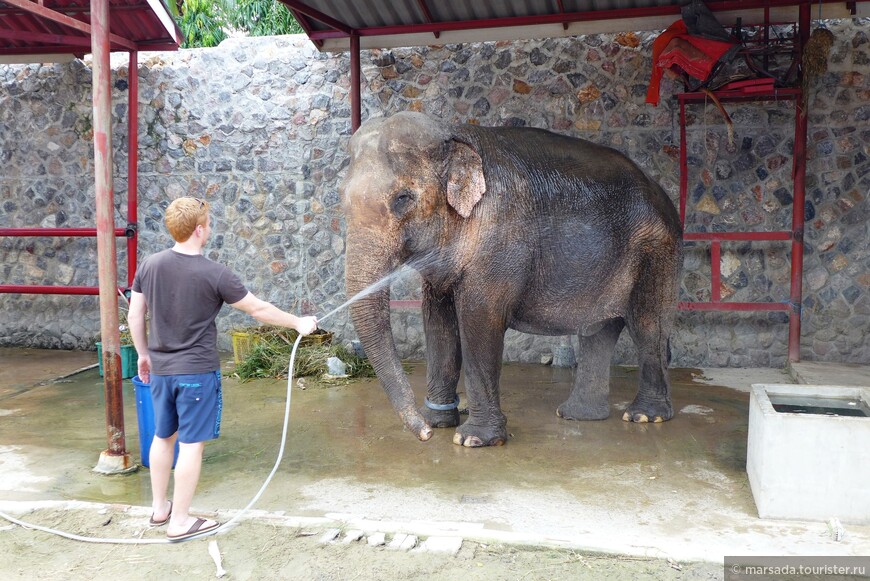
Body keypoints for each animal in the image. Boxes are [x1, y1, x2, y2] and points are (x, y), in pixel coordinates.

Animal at [342, 113, 688, 448]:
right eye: (342, 201)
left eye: (403, 198)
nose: (423, 434)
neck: (454, 133)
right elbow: (438, 322)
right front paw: (439, 422)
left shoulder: (499, 240)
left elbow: (479, 320)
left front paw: (472, 439)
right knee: (599, 331)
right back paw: (578, 415)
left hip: (657, 251)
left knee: (647, 327)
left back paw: (644, 417)